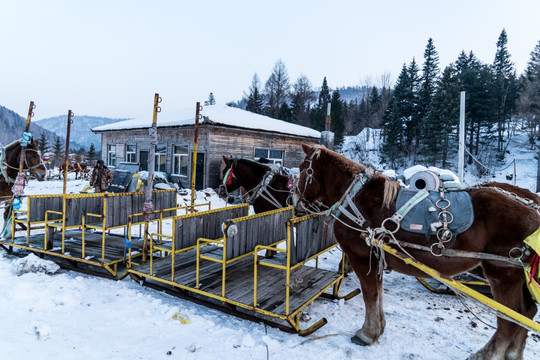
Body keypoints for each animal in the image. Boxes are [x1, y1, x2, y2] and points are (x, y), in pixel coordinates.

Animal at [296, 144, 540, 360]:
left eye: (301, 169)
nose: (295, 202)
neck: (355, 198)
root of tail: (533, 209)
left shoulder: (362, 258)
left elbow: (370, 295)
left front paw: (367, 333)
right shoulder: (378, 259)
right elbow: (378, 295)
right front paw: (379, 329)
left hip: (502, 273)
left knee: (510, 319)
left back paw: (487, 355)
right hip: (518, 276)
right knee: (526, 313)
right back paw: (513, 354)